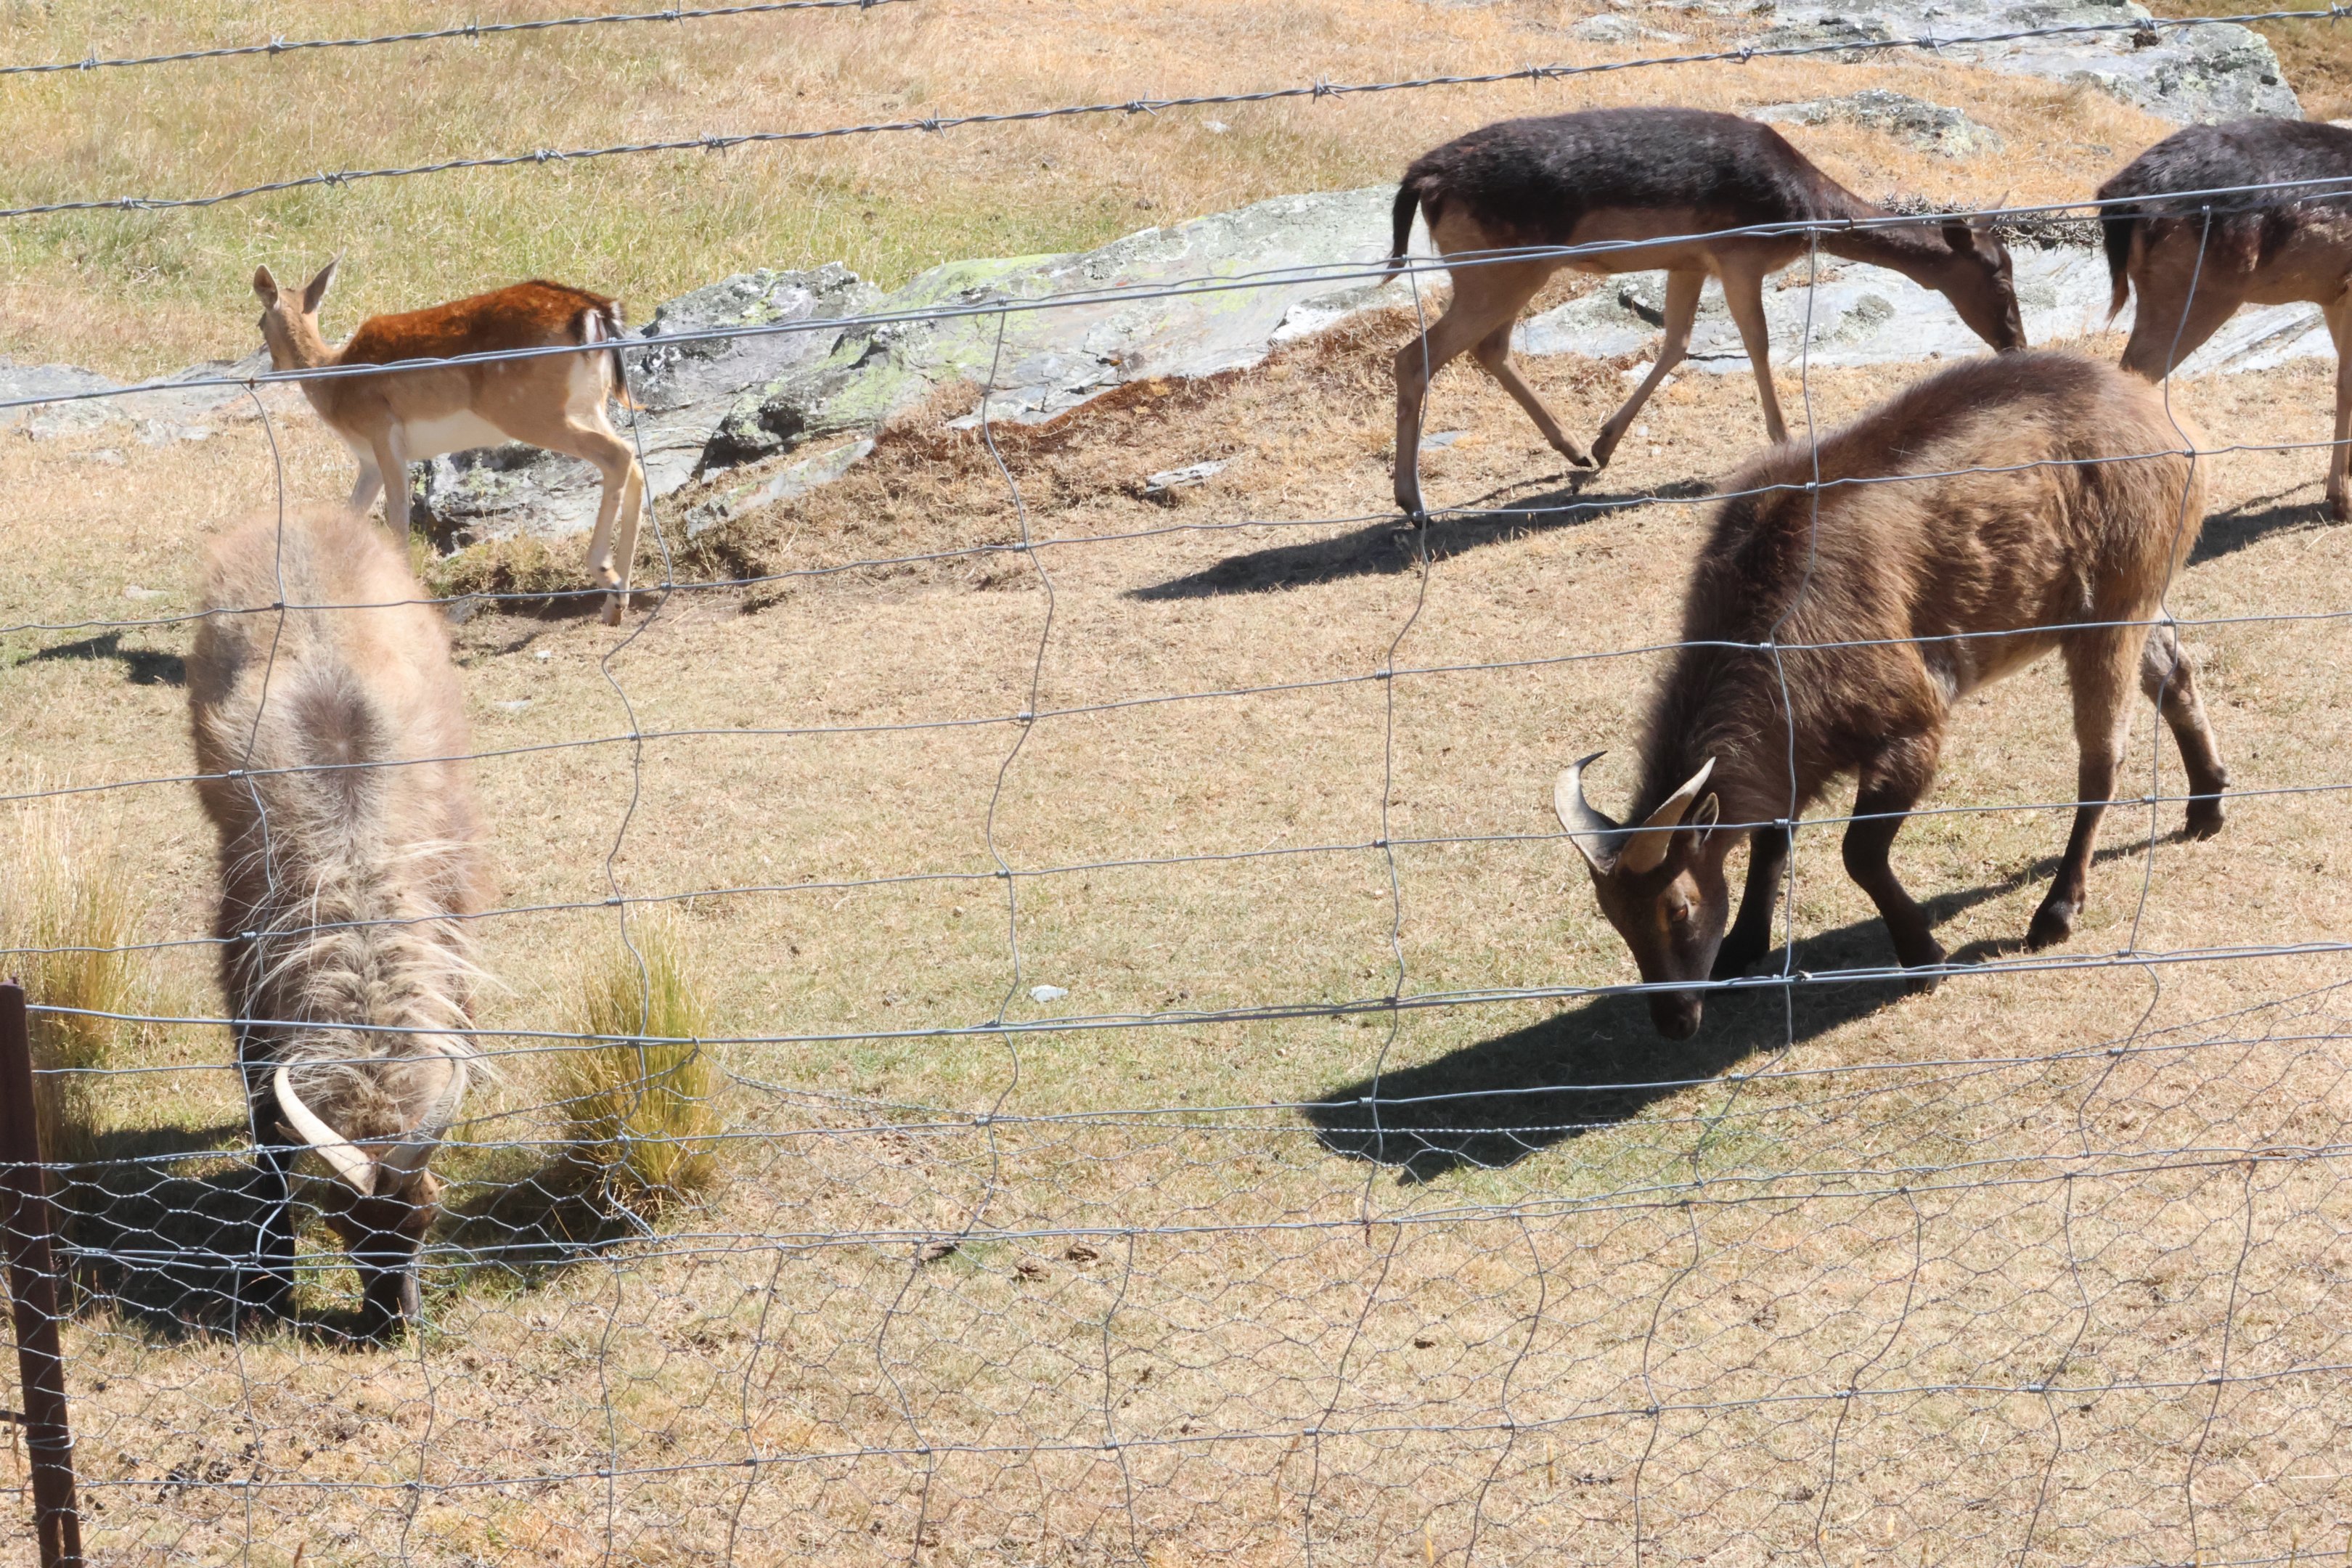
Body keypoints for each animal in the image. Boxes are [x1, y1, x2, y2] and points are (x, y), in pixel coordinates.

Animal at [188, 507, 492, 1336]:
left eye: (428, 1216)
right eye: (342, 1225)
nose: (395, 1324)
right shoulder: (248, 985)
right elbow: (267, 1145)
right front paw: (271, 1282)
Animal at [252, 262, 648, 625]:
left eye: (259, 323)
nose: (272, 368)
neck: (335, 385)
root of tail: (595, 312)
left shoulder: (383, 434)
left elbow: (398, 522)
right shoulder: (368, 461)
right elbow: (350, 514)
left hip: (528, 411)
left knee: (618, 454)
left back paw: (606, 575)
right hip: (589, 404)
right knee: (635, 465)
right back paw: (616, 602)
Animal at [1385, 107, 2026, 515]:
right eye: (1999, 275)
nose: (2015, 343)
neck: (1804, 209)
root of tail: (1421, 179)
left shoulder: (1688, 260)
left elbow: (1677, 341)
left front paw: (1606, 441)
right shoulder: (1740, 253)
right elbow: (1759, 345)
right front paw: (1785, 444)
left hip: (1507, 271)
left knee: (1487, 348)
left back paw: (1573, 450)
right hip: (1498, 268)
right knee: (1416, 356)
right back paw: (1413, 502)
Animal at [1550, 353, 2227, 1041]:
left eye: (1679, 909)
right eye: (1615, 918)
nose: (1675, 1020)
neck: (1775, 609)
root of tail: (2166, 419)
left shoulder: (1912, 728)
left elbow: (1860, 854)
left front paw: (1923, 957)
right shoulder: (1795, 752)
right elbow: (1772, 836)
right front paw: (1743, 946)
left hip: (2110, 613)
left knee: (2103, 756)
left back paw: (2057, 910)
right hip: (2134, 603)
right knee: (2175, 672)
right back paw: (2206, 805)